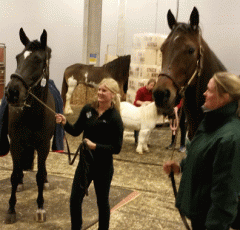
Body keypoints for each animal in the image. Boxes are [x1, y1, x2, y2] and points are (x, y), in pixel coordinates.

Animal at [4, 27, 55, 224]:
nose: (12, 91)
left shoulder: (43, 145)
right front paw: (11, 209)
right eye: (18, 57)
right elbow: (13, 174)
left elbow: (39, 176)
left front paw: (40, 207)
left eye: (38, 60)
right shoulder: (16, 144)